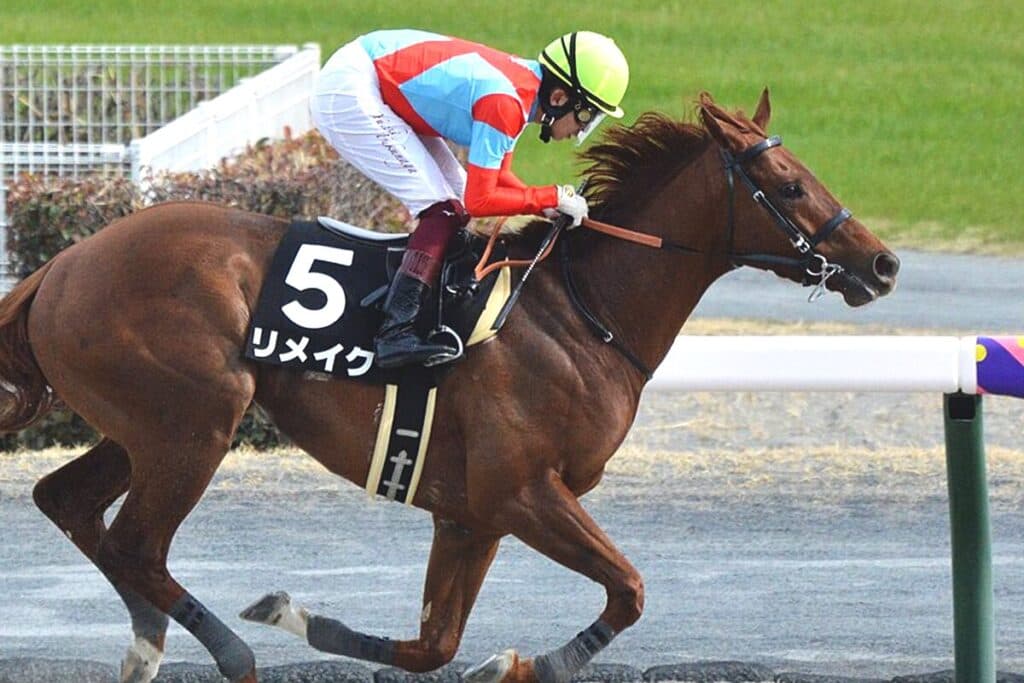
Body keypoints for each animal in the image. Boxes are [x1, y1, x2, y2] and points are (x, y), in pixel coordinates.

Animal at [0, 91, 899, 683]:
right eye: (790, 185)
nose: (883, 262)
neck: (581, 312)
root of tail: (59, 266)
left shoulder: (471, 512)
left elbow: (436, 644)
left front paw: (329, 624)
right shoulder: (522, 489)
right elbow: (630, 589)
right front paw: (529, 661)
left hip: (147, 427)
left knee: (70, 502)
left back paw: (149, 638)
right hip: (197, 419)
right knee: (135, 542)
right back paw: (228, 649)